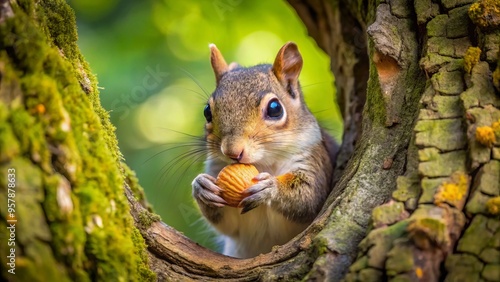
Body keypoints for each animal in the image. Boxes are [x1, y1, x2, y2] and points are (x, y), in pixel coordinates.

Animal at [193, 41, 338, 258]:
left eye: (275, 108)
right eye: (207, 111)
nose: (232, 152)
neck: (263, 163)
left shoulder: (314, 158)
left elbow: (309, 196)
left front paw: (270, 187)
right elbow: (227, 224)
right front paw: (202, 187)